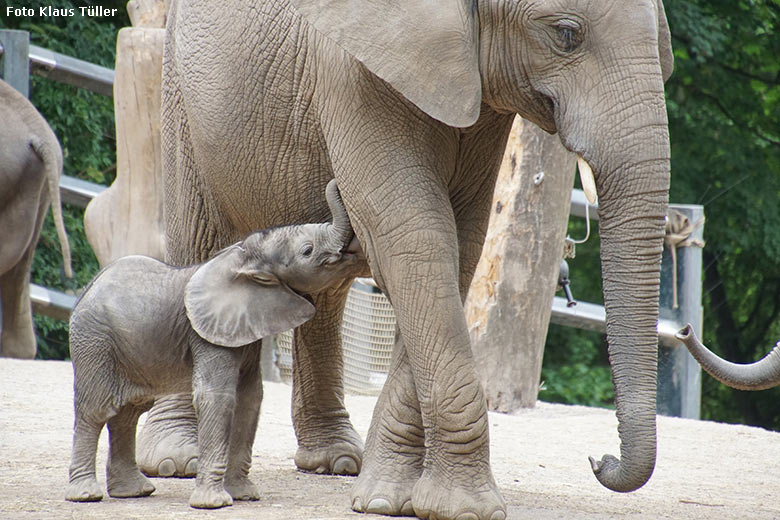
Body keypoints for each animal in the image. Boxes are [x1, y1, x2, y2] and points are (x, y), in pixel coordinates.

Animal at [67, 179, 360, 508]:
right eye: (307, 251)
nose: (334, 182)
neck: (243, 255)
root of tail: (86, 291)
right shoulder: (206, 336)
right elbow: (218, 397)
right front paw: (213, 503)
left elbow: (250, 398)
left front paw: (245, 496)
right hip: (94, 342)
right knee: (95, 411)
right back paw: (86, 495)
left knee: (128, 414)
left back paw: (135, 492)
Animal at [154, 0, 676, 516]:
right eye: (566, 34)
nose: (599, 460)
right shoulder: (352, 73)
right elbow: (415, 236)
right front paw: (460, 508)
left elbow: (457, 244)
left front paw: (389, 497)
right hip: (182, 96)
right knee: (196, 241)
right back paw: (179, 459)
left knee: (325, 293)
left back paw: (336, 460)